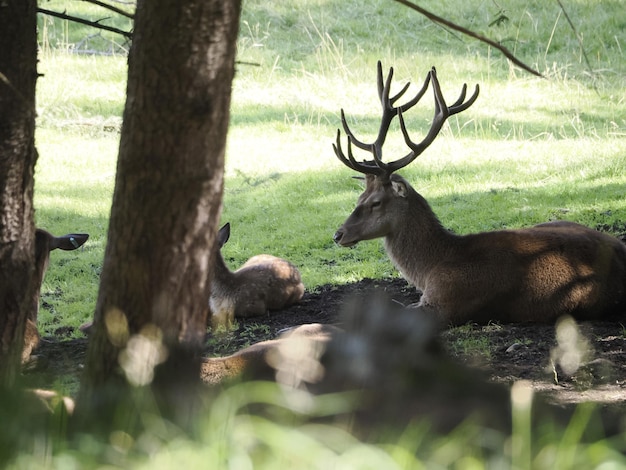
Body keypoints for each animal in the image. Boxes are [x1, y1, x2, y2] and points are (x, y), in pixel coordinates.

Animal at [332, 61, 624, 326]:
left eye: (376, 202)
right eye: (358, 198)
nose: (338, 234)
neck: (432, 267)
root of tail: (621, 247)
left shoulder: (445, 305)